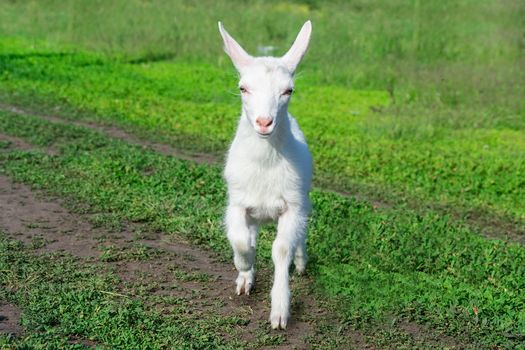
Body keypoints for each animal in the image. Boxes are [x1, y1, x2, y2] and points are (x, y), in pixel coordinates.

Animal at [217, 20, 312, 330]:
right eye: (243, 87)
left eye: (288, 90)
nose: (263, 122)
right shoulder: (237, 202)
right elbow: (239, 238)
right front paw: (245, 266)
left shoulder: (292, 205)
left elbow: (280, 249)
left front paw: (280, 312)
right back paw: (245, 278)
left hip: (304, 200)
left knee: (299, 236)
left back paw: (301, 262)